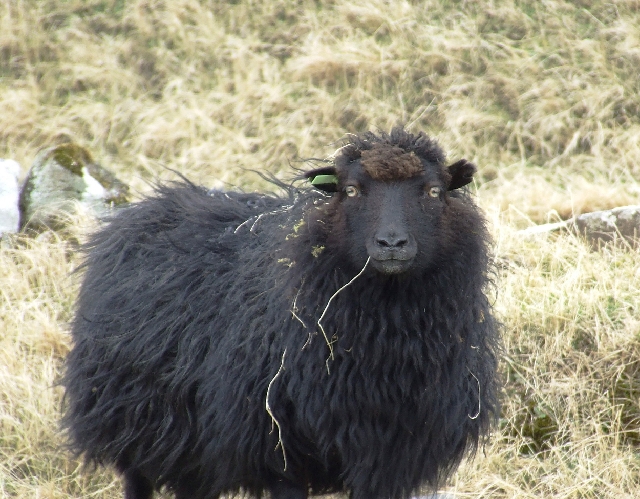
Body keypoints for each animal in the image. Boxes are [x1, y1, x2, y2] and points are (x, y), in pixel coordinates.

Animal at [62, 127, 500, 499]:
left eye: (433, 191)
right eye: (352, 190)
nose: (392, 243)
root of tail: (141, 209)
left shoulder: (386, 456)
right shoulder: (280, 451)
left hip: (193, 445)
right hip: (131, 418)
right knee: (137, 479)